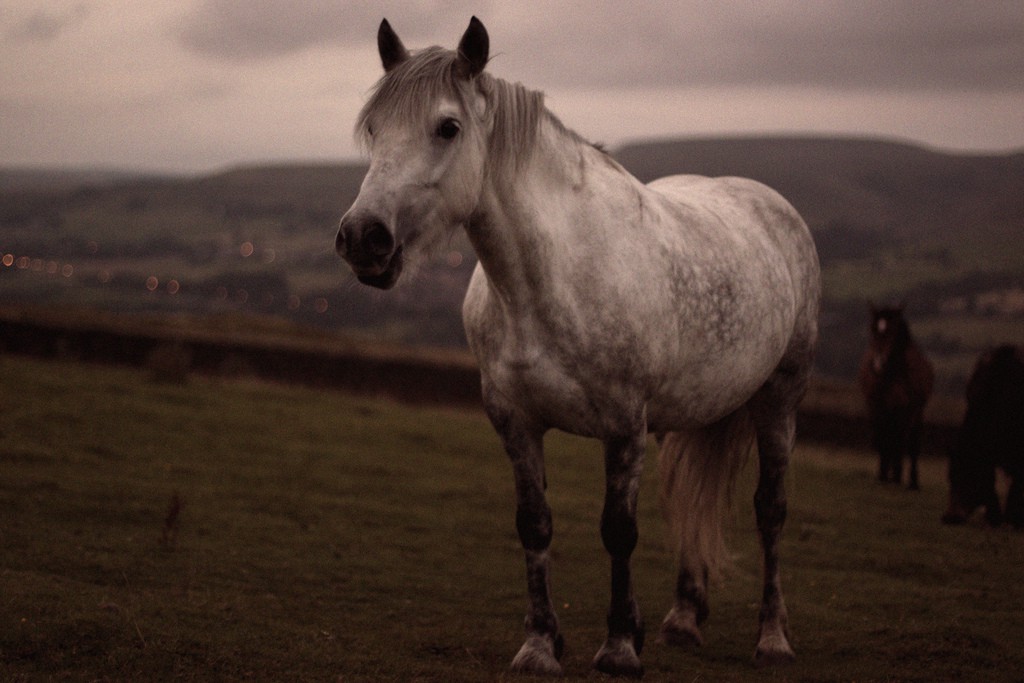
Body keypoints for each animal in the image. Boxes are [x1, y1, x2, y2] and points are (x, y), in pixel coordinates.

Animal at [339, 17, 819, 679]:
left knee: (770, 510)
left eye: (448, 127)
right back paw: (683, 618)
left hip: (779, 400)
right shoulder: (515, 422)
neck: (550, 281)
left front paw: (618, 648)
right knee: (690, 503)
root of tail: (773, 207)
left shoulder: (624, 427)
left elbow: (619, 531)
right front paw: (541, 645)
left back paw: (772, 637)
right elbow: (534, 526)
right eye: (374, 128)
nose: (363, 238)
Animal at [860, 305, 933, 491]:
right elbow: (882, 439)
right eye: (872, 329)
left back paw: (912, 481)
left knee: (911, 445)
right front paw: (883, 474)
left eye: (893, 331)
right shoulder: (876, 408)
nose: (878, 363)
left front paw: (896, 475)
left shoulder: (906, 411)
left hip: (916, 415)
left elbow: (899, 442)